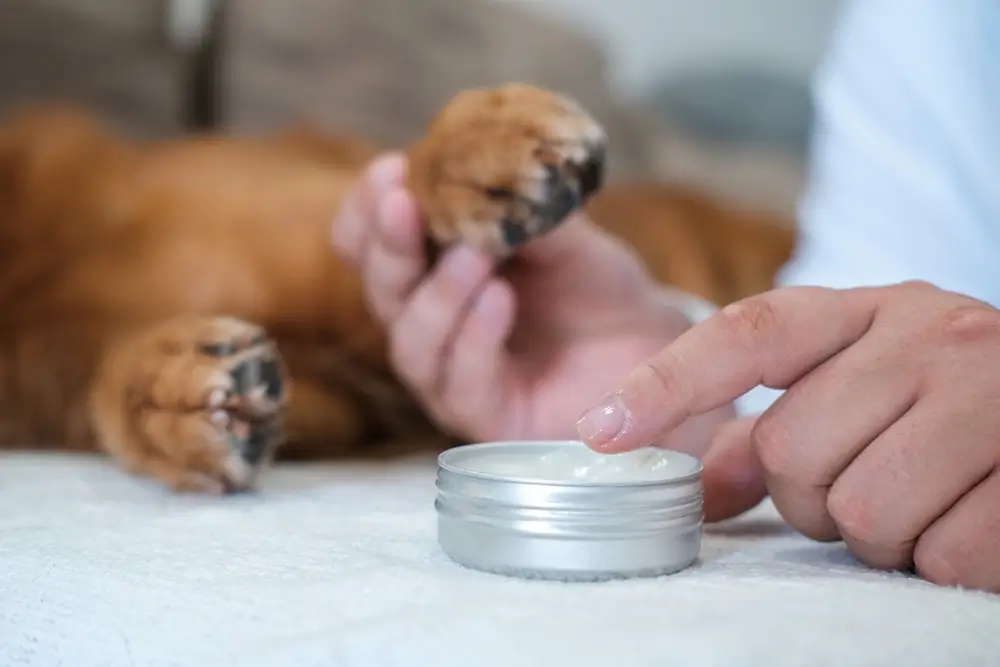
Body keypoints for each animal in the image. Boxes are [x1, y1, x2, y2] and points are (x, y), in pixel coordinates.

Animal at [0, 83, 796, 494]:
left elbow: (405, 200)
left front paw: (470, 159)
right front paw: (170, 393)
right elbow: (110, 385)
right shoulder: (349, 401)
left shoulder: (341, 245)